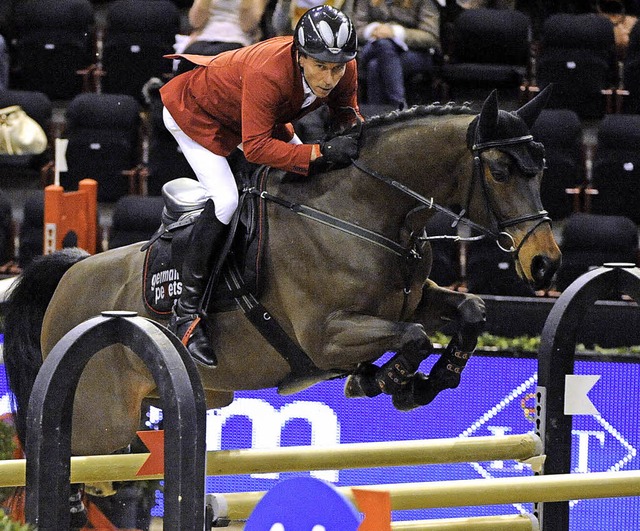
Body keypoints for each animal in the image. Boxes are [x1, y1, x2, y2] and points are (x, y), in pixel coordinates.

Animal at [3, 88, 560, 462]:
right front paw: (385, 380)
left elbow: (470, 309)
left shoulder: (415, 297)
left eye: (542, 168)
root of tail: (72, 274)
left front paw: (429, 381)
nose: (546, 263)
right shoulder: (326, 334)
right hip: (98, 425)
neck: (363, 212)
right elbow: (415, 336)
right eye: (500, 171)